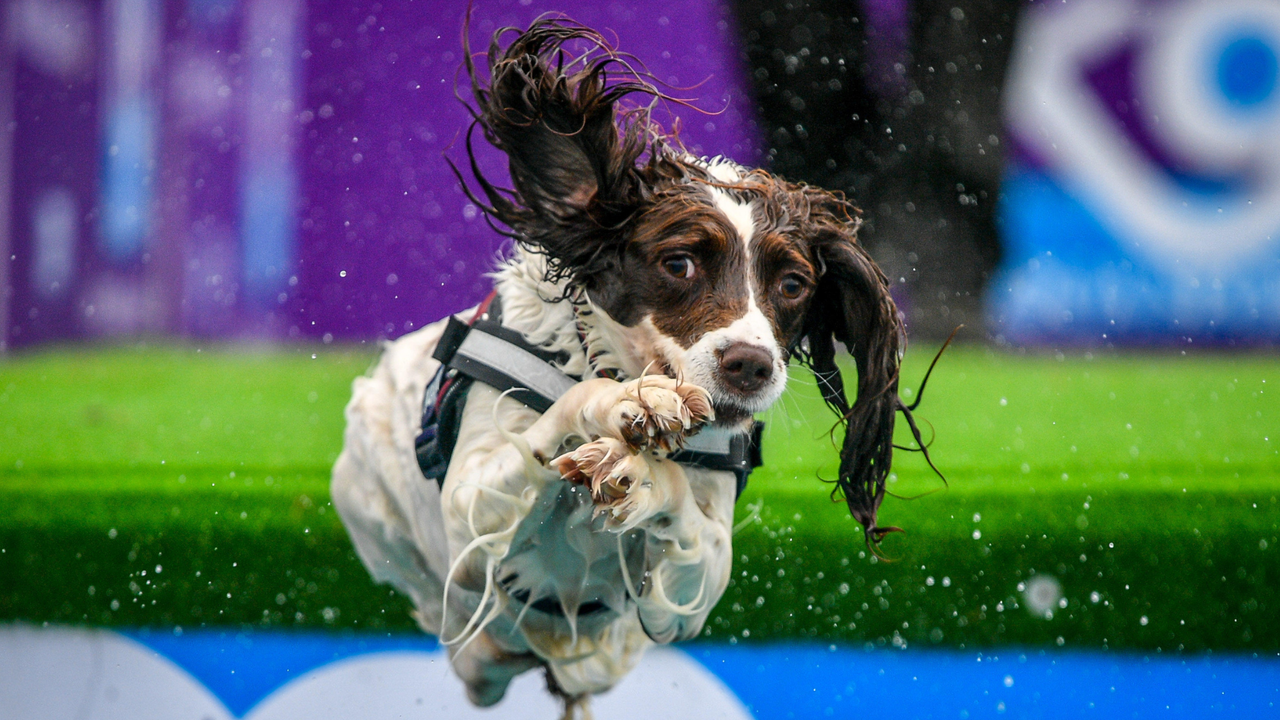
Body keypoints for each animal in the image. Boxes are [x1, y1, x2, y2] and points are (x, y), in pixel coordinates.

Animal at [330, 14, 911, 712]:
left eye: (794, 284)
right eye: (679, 264)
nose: (750, 365)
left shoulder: (691, 591)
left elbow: (685, 521)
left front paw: (640, 476)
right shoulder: (469, 517)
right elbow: (562, 415)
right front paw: (625, 403)